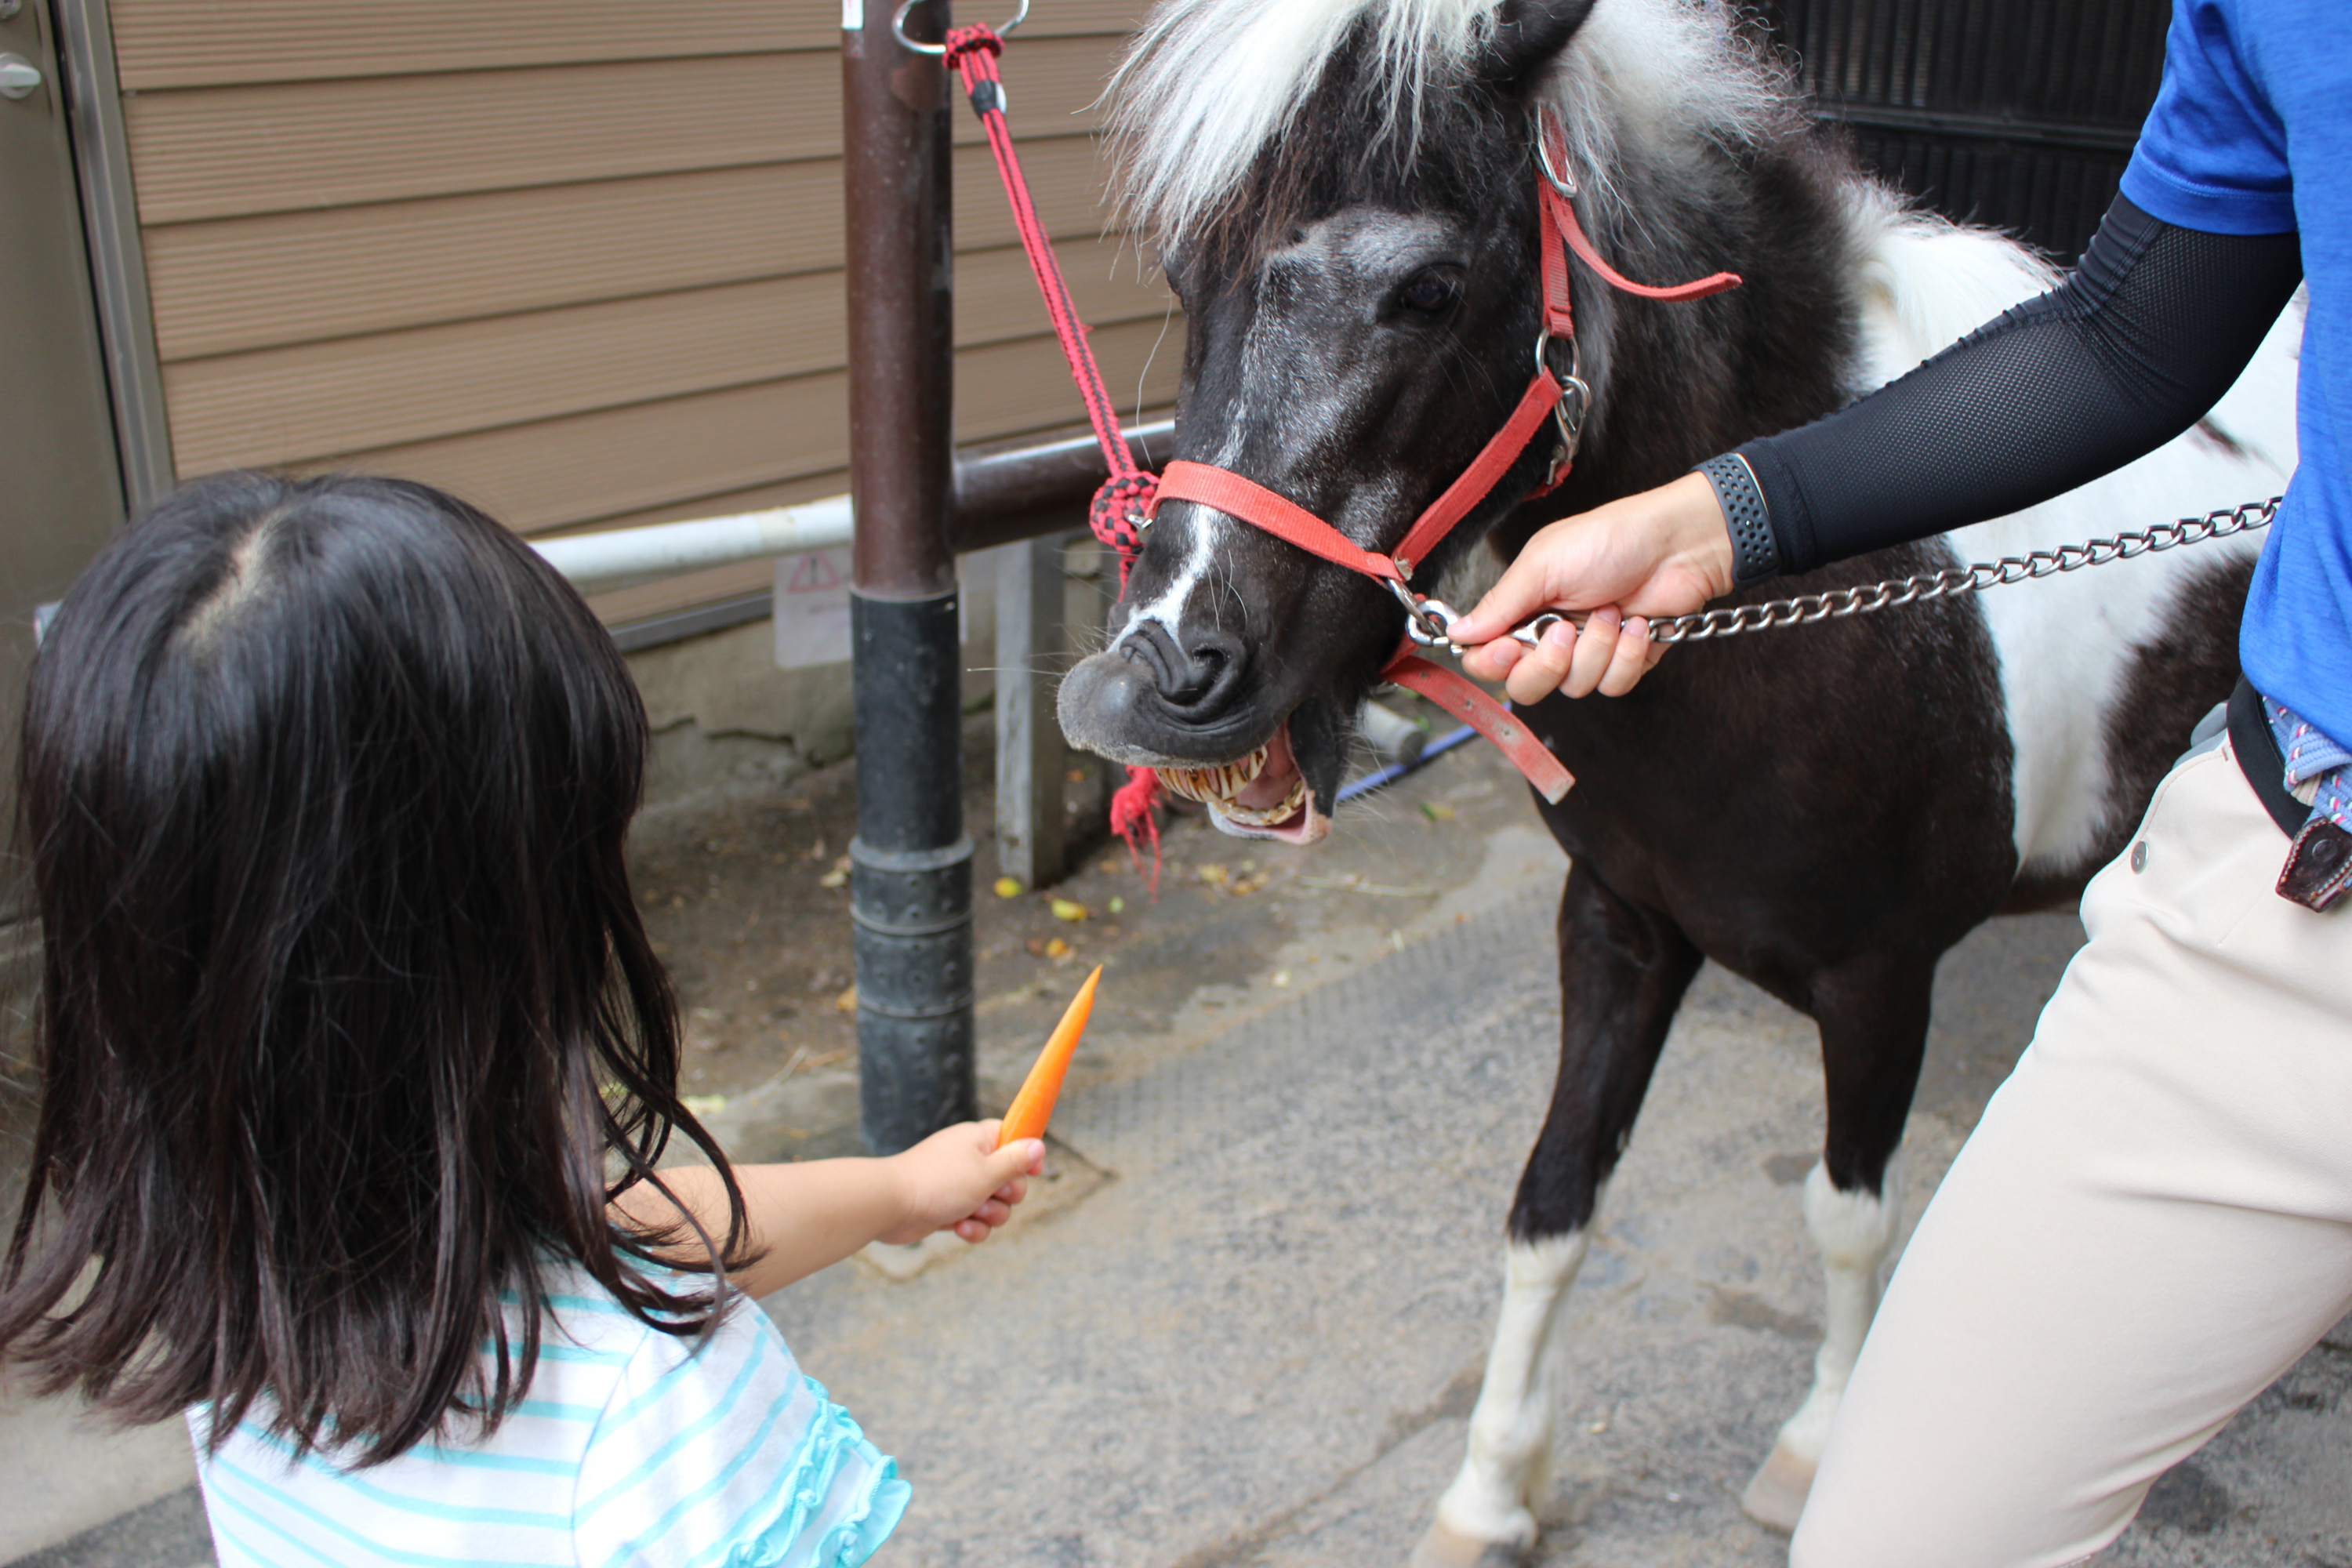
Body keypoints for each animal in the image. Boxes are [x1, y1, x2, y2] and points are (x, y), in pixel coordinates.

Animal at [1063, 0, 2296, 1561]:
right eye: (1185, 278)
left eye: (1426, 290)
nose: (1149, 683)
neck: (1830, 607)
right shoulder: (1620, 923)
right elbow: (1551, 1201)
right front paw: (1491, 1491)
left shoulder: (1883, 977)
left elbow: (1850, 1215)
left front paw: (1816, 1446)